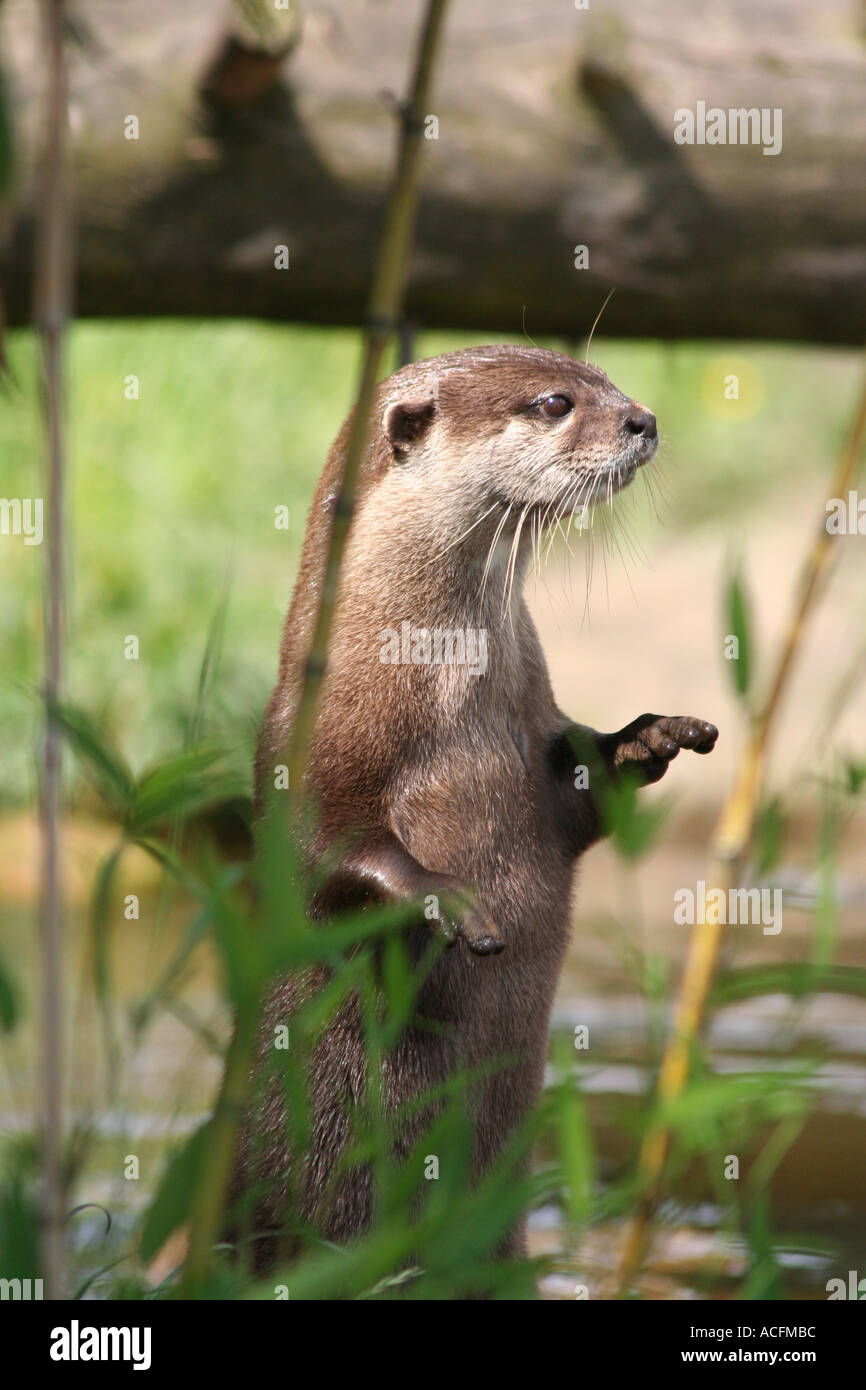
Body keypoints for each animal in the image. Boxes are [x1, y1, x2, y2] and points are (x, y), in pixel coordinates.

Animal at [236, 344, 717, 1268]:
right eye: (556, 403)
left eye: (606, 377)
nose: (642, 419)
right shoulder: (311, 746)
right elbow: (324, 847)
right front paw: (448, 900)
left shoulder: (537, 742)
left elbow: (579, 795)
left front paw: (649, 736)